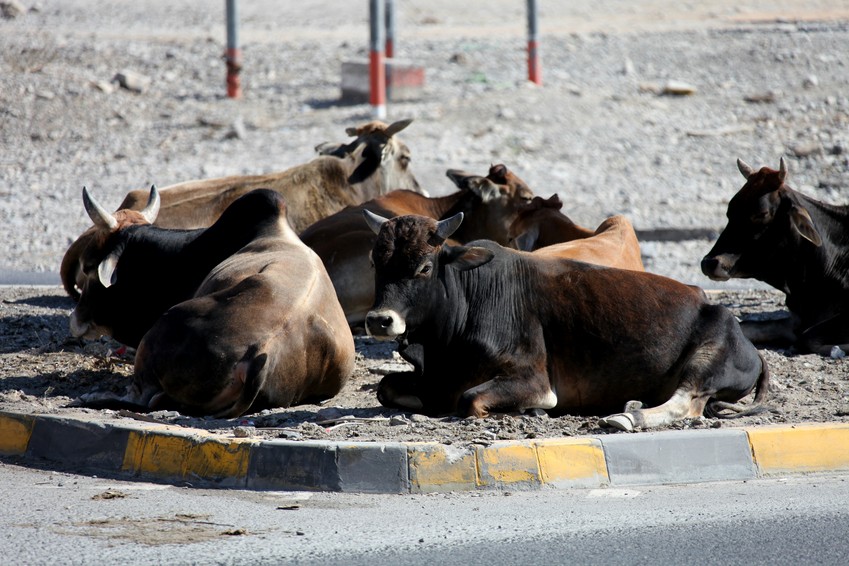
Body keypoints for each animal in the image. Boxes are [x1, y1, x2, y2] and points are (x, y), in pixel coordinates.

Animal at [361, 212, 770, 431]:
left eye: (424, 266)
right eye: (375, 263)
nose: (380, 320)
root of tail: (738, 330)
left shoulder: (532, 378)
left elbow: (470, 399)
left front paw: (534, 409)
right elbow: (385, 387)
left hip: (706, 362)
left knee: (686, 402)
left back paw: (627, 418)